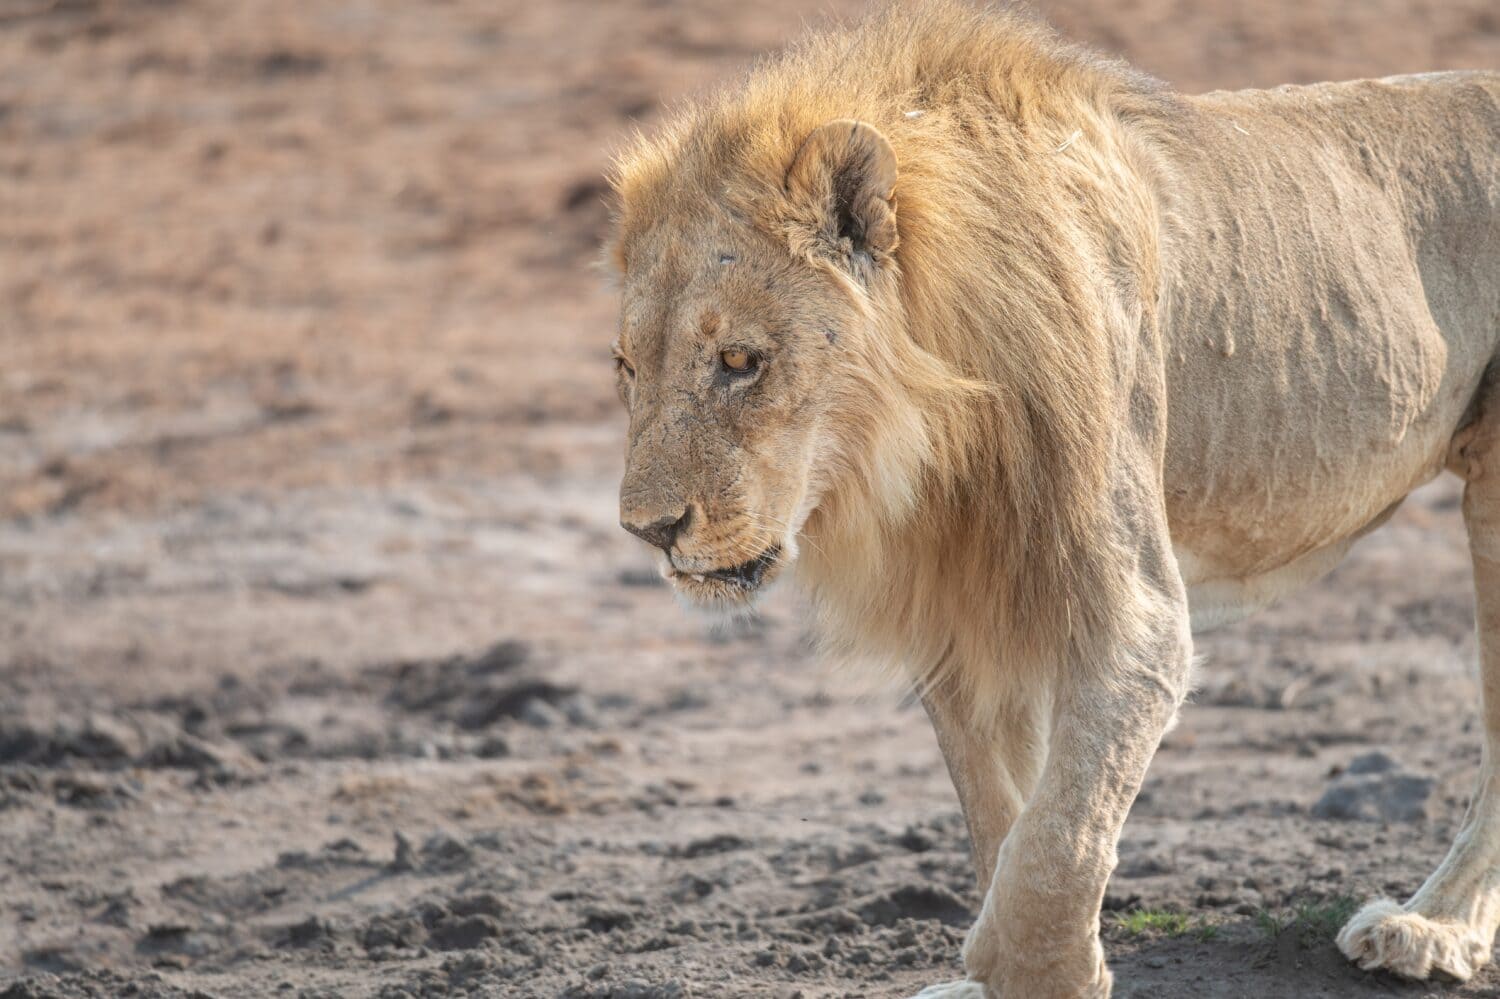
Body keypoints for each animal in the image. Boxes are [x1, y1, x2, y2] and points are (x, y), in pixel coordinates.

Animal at [604, 1, 1500, 995]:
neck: (928, 443)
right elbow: (1006, 813)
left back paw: (1430, 926)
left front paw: (1034, 964)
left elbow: (1060, 835)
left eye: (740, 360)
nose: (648, 529)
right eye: (627, 366)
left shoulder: (1128, 606)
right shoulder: (964, 605)